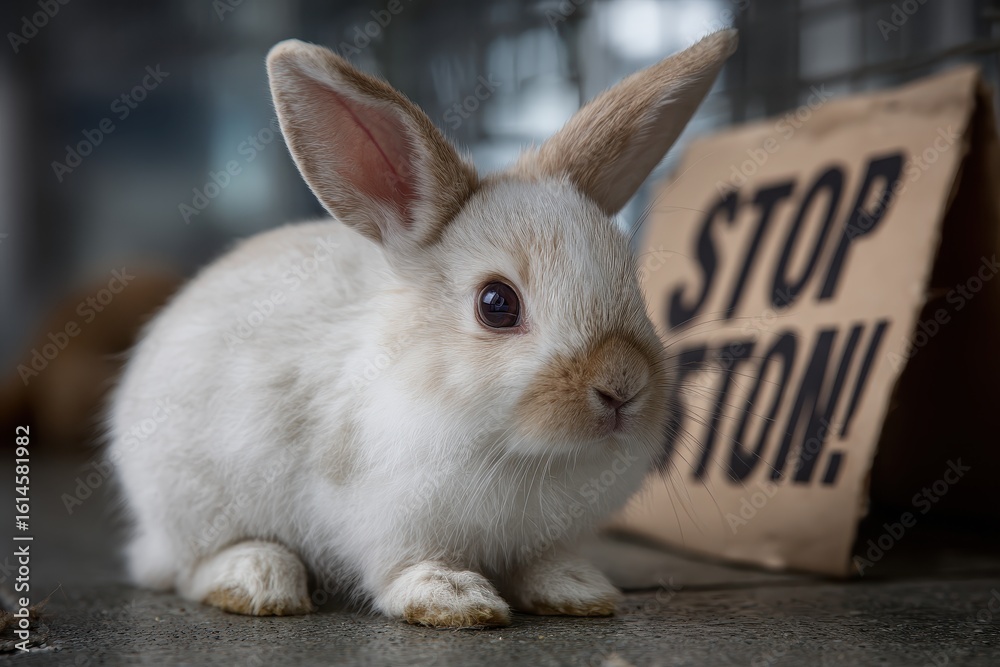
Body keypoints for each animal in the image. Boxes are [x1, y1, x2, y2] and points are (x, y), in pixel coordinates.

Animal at [107, 29, 737, 628]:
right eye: (496, 304)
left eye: (633, 280)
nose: (623, 385)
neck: (517, 449)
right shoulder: (386, 521)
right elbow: (409, 567)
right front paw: (454, 600)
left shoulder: (540, 538)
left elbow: (541, 564)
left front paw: (579, 591)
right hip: (192, 504)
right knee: (188, 568)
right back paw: (259, 580)